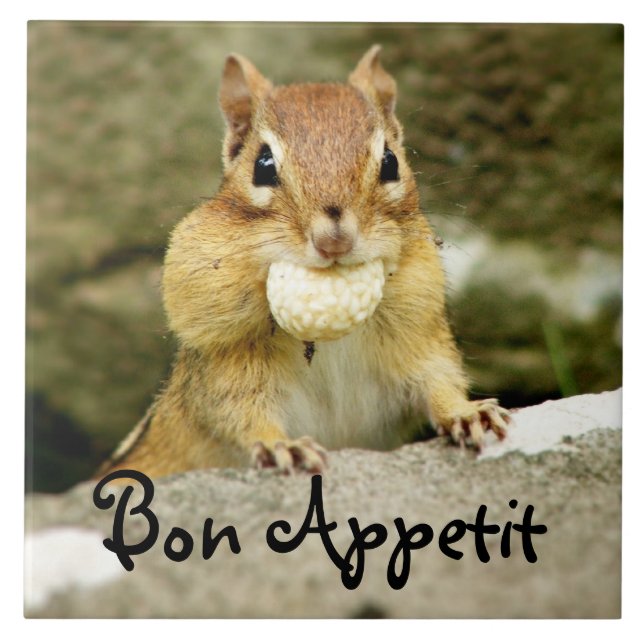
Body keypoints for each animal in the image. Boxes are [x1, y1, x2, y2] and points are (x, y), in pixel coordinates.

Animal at [98, 45, 509, 479]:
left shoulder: (420, 335)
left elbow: (438, 380)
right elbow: (240, 413)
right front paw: (282, 446)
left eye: (390, 162)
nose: (334, 240)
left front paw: (467, 414)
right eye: (263, 165)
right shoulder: (225, 363)